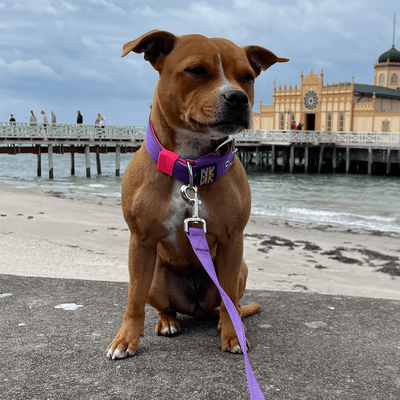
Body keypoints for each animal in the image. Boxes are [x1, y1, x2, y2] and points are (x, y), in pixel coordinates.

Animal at [106, 29, 288, 358]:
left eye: (248, 77)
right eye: (196, 70)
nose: (238, 97)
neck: (191, 166)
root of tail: (196, 307)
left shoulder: (232, 242)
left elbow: (230, 299)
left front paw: (233, 335)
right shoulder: (140, 242)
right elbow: (134, 298)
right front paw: (126, 339)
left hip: (240, 269)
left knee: (230, 303)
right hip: (157, 278)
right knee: (163, 306)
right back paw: (167, 322)